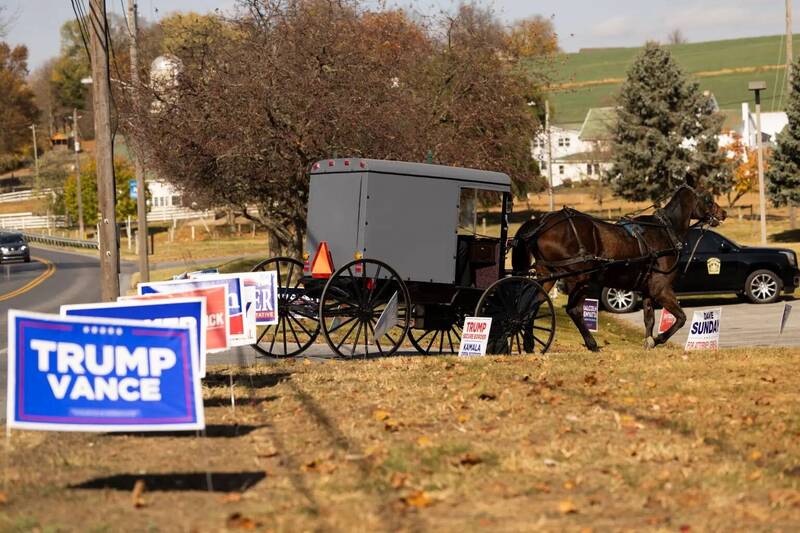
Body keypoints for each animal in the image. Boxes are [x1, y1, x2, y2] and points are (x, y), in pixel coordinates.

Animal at [512, 185, 724, 352]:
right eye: (708, 199)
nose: (723, 214)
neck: (665, 231)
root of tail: (542, 223)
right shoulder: (661, 288)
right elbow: (681, 318)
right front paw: (657, 340)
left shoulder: (647, 290)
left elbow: (649, 319)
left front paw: (648, 342)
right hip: (580, 278)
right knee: (574, 310)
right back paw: (592, 344)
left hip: (548, 276)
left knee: (532, 303)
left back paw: (529, 343)